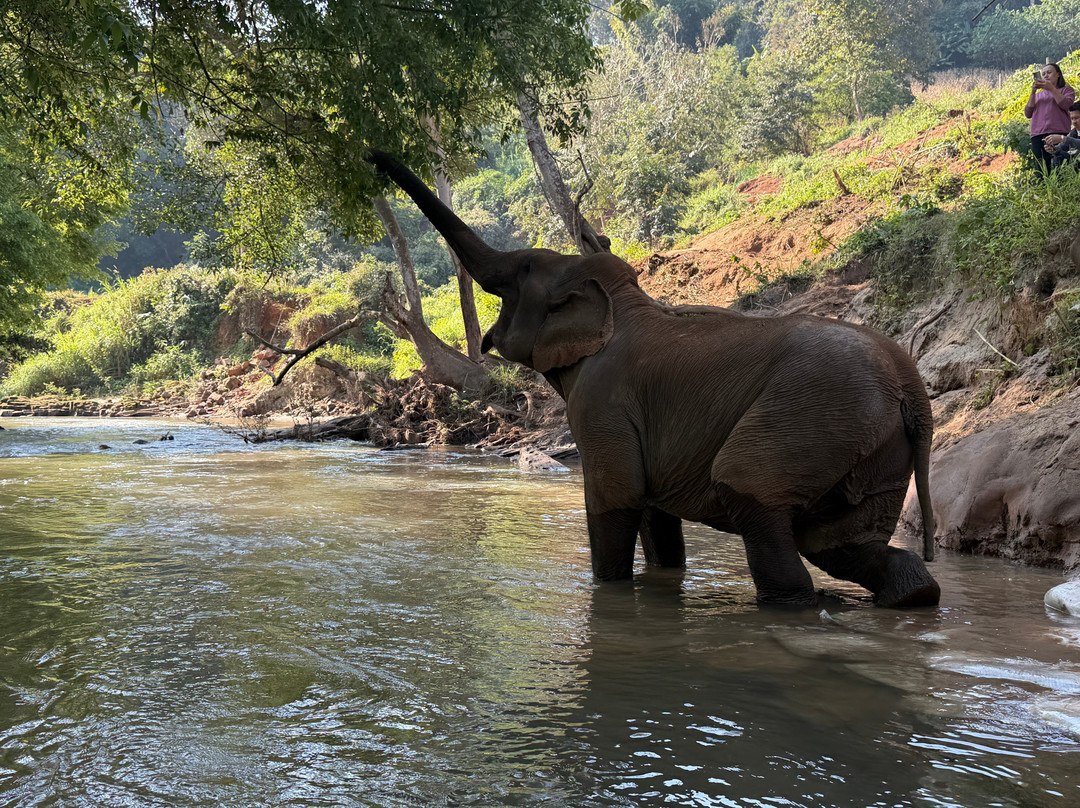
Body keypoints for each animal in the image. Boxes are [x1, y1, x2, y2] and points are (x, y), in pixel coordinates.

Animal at [369, 151, 940, 609]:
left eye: (521, 270)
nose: (373, 160)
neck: (620, 303)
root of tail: (912, 388)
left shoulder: (602, 400)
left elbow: (616, 496)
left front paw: (611, 591)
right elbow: (654, 511)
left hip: (813, 419)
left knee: (756, 502)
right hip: (875, 445)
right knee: (839, 543)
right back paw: (911, 597)